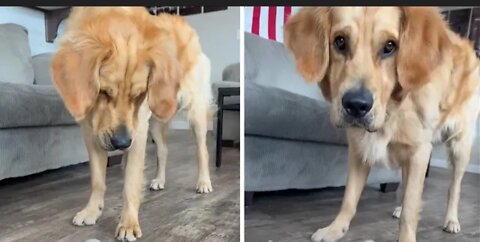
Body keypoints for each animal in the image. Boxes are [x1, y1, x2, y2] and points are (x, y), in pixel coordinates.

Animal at [50, 6, 212, 241]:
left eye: (138, 95)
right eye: (104, 92)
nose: (122, 143)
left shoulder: (137, 133)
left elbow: (130, 183)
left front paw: (128, 223)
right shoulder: (92, 133)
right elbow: (97, 180)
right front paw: (92, 210)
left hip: (194, 111)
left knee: (202, 151)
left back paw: (204, 182)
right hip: (156, 119)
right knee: (163, 150)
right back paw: (159, 179)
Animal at [284, 6, 480, 241]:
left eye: (389, 46)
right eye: (340, 41)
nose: (356, 105)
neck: (392, 111)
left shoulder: (419, 151)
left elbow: (411, 209)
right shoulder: (359, 150)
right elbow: (349, 199)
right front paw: (335, 229)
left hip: (460, 147)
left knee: (454, 188)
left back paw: (451, 220)